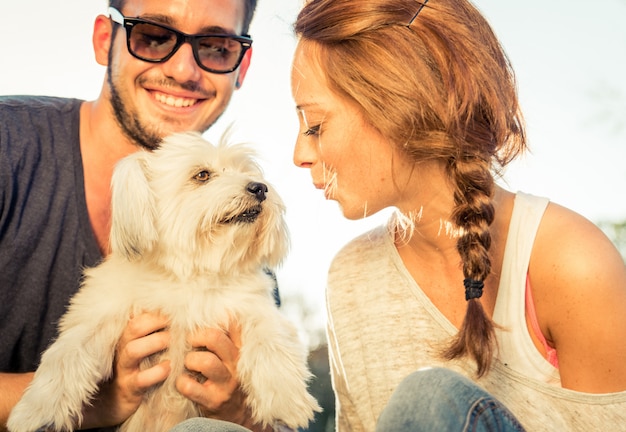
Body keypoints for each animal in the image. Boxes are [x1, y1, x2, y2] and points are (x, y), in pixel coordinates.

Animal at [9, 132, 320, 432]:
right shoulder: (99, 315)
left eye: (246, 172)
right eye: (202, 175)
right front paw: (35, 410)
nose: (259, 188)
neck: (189, 274)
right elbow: (67, 355)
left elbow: (272, 343)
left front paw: (286, 401)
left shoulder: (254, 309)